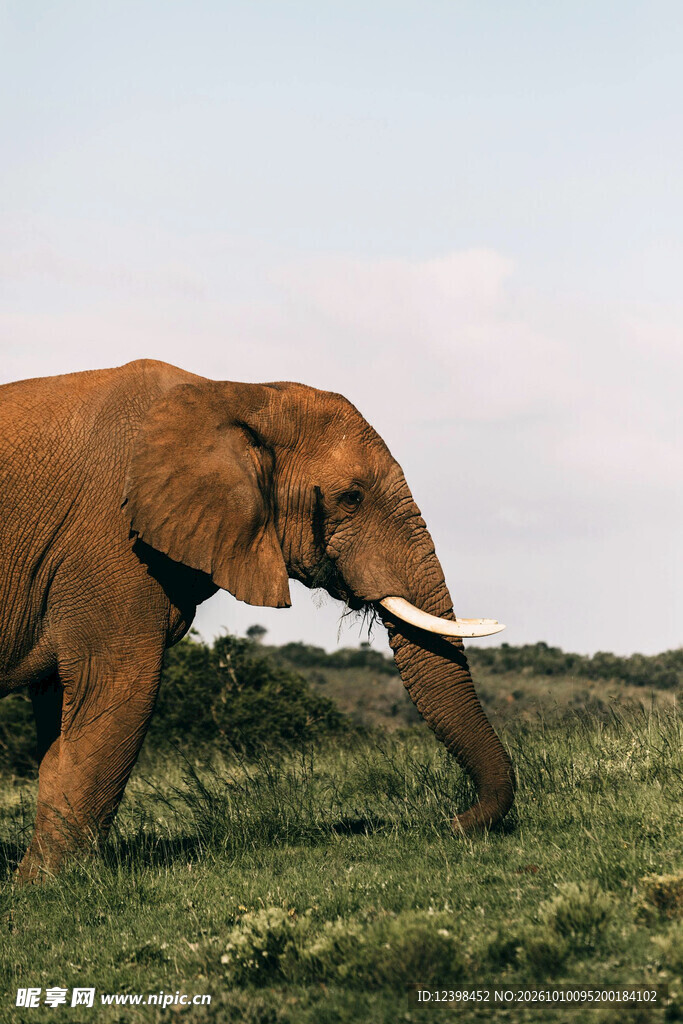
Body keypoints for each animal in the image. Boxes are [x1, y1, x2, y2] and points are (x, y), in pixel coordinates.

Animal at [0, 358, 514, 880]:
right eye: (352, 497)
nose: (454, 822)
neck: (238, 394)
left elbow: (61, 713)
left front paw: (38, 880)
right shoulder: (109, 542)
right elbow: (116, 688)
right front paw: (47, 885)